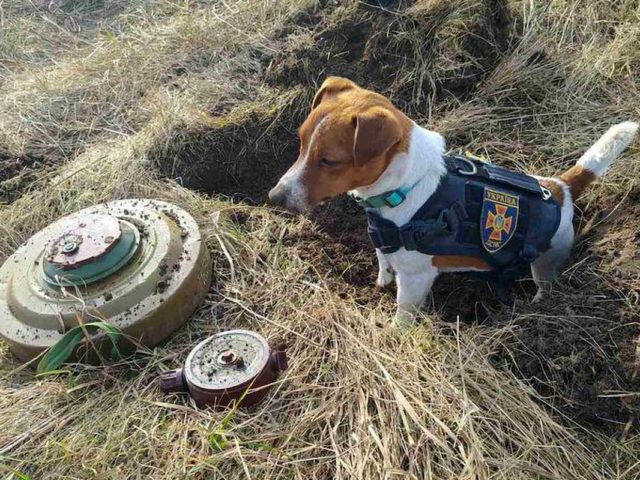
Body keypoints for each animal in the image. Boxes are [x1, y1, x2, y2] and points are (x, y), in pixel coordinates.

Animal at [268, 77, 636, 326]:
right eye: (300, 142)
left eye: (329, 161)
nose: (274, 197)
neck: (405, 186)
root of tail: (559, 188)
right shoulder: (384, 244)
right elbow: (384, 262)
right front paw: (380, 281)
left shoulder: (415, 279)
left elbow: (403, 313)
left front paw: (394, 332)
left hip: (546, 262)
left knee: (545, 284)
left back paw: (537, 306)